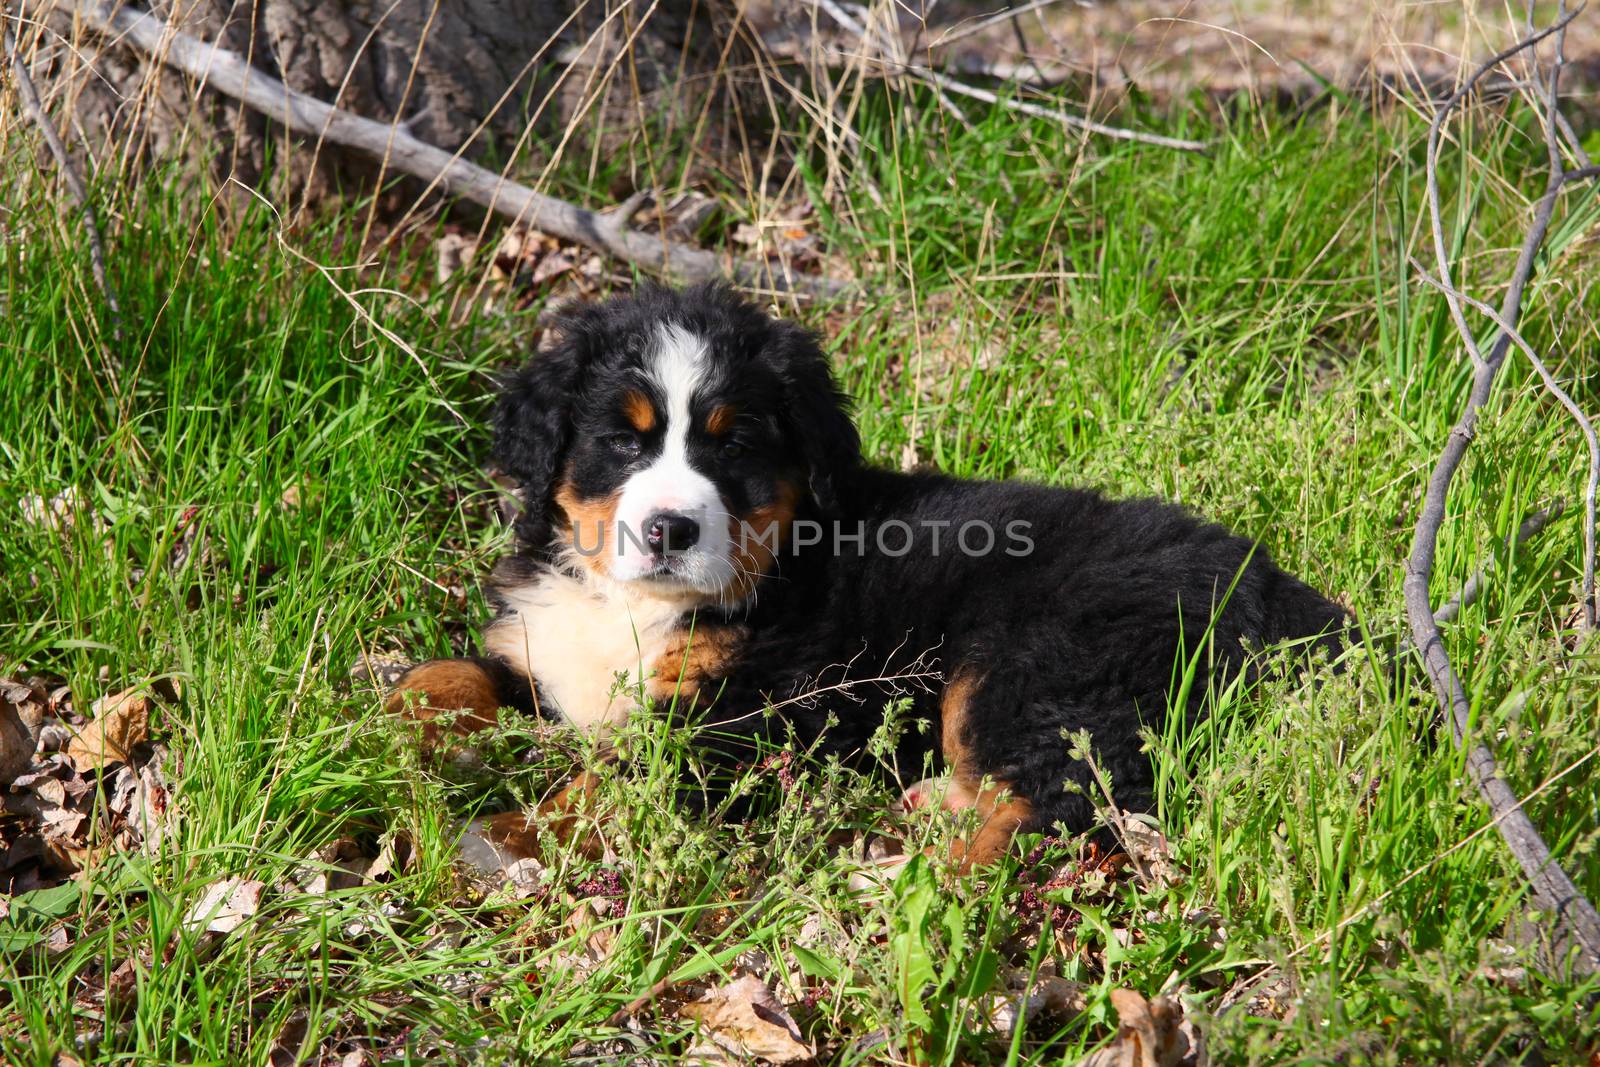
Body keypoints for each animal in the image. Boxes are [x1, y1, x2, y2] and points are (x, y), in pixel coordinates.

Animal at [390, 283, 1350, 870]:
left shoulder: (750, 714)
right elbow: (455, 671)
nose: (669, 529)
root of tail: (1272, 584)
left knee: (1068, 803)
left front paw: (506, 837)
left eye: (734, 445)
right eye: (622, 440)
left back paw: (913, 876)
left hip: (1038, 663)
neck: (636, 603)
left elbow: (624, 776)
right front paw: (388, 725)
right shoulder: (545, 652)